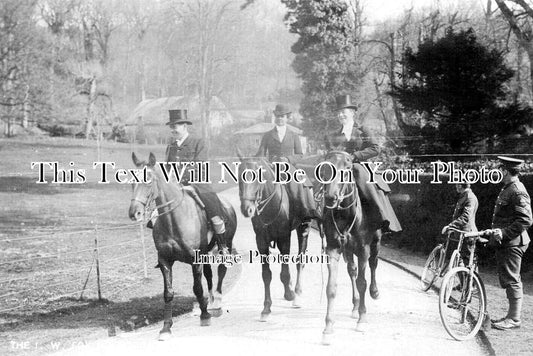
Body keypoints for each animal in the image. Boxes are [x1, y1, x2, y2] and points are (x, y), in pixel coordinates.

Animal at [128, 152, 236, 340]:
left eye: (148, 181)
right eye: (132, 182)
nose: (134, 213)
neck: (173, 220)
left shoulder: (195, 260)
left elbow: (197, 288)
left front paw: (205, 316)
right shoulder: (165, 260)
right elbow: (168, 293)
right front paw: (166, 327)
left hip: (226, 246)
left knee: (221, 270)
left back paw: (216, 304)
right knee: (209, 274)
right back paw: (211, 301)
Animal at [237, 156, 312, 320]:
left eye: (258, 177)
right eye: (239, 176)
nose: (247, 209)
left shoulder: (284, 237)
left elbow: (284, 272)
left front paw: (290, 294)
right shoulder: (261, 241)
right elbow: (266, 275)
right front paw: (266, 307)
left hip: (303, 227)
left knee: (300, 261)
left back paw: (296, 293)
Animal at [318, 151, 380, 344]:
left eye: (346, 169)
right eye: (325, 168)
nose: (330, 197)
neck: (346, 214)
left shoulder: (363, 250)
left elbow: (362, 282)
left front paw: (362, 319)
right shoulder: (333, 249)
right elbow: (331, 287)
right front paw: (328, 327)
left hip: (376, 242)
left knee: (373, 264)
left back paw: (374, 292)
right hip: (348, 251)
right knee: (352, 271)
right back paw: (355, 305)